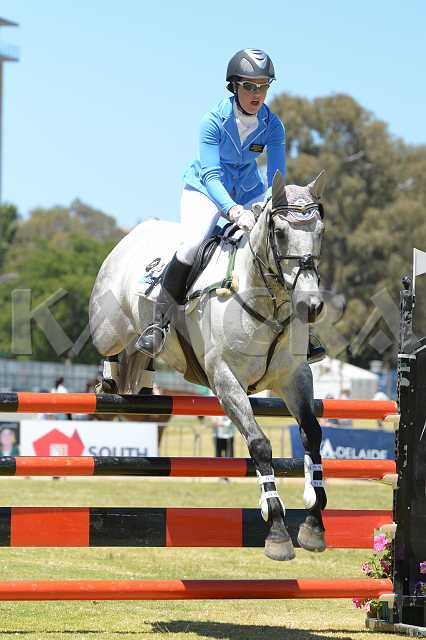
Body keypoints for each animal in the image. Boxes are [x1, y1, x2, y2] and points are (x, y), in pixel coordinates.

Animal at [89, 170, 327, 561]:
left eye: (320, 230)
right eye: (279, 232)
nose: (311, 306)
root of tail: (134, 234)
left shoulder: (295, 378)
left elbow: (312, 434)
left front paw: (314, 522)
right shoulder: (226, 381)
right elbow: (260, 444)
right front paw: (276, 529)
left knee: (137, 360)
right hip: (109, 328)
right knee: (113, 351)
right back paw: (112, 377)